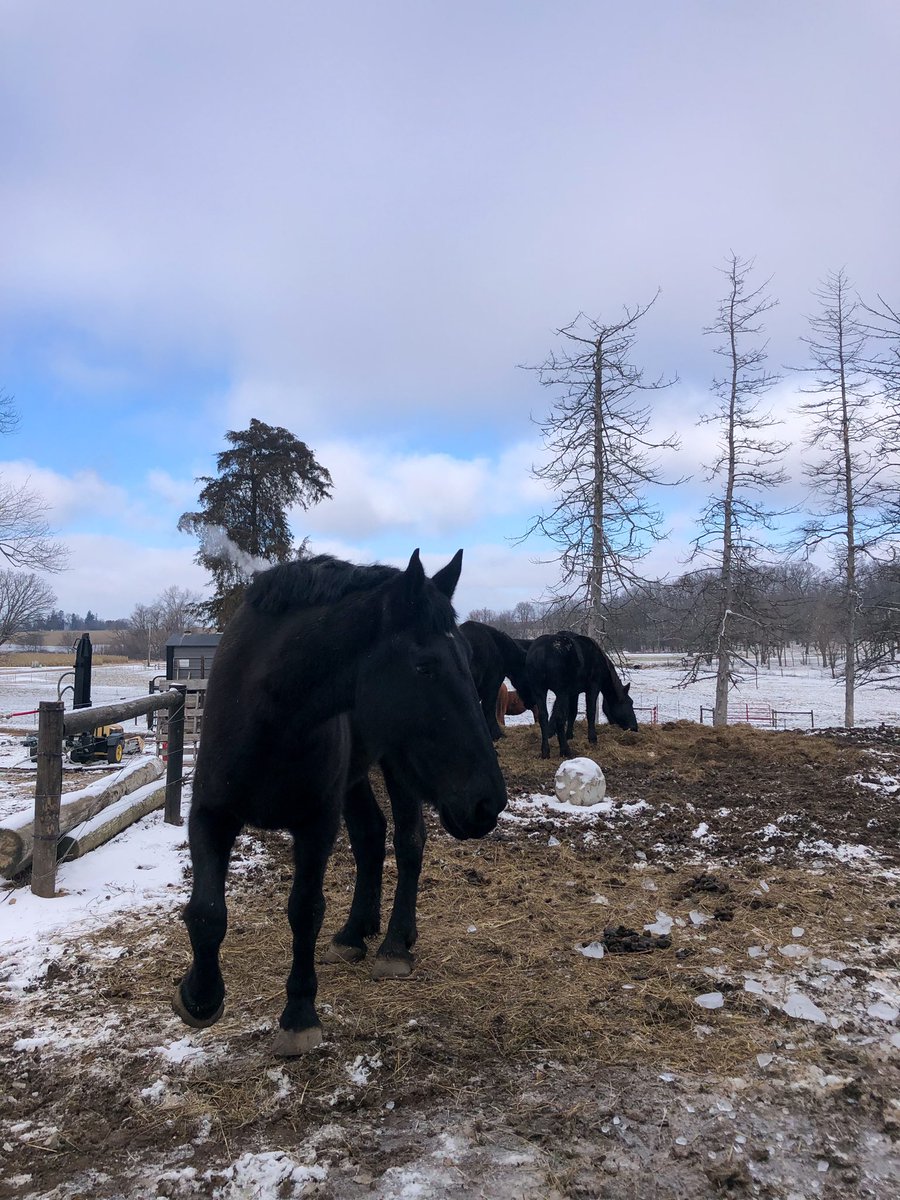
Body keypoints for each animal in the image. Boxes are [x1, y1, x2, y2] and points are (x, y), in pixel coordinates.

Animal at [172, 550, 507, 1055]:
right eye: (424, 666)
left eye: (468, 658)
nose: (489, 803)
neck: (266, 715)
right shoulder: (211, 814)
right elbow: (207, 910)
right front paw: (199, 995)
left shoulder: (317, 824)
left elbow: (305, 910)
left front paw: (298, 1014)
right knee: (371, 834)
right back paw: (354, 934)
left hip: (396, 765)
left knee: (409, 841)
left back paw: (394, 944)